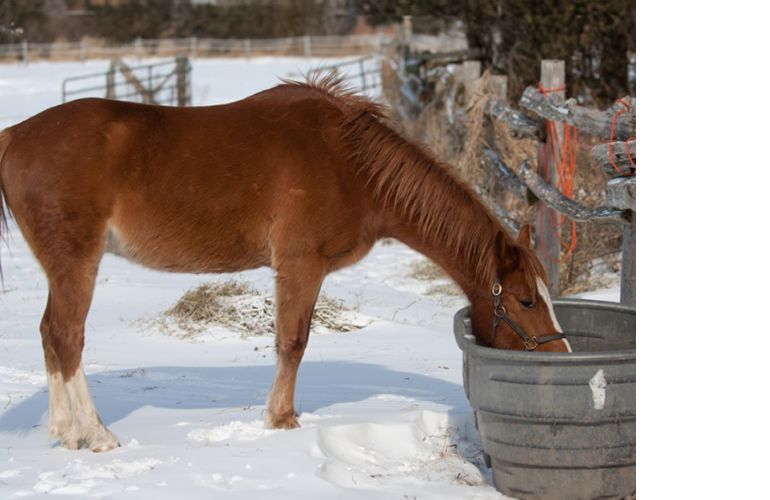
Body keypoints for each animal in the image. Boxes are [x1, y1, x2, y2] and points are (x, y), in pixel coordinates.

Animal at [0, 75, 564, 454]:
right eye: (525, 300)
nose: (559, 354)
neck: (349, 163)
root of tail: (14, 135)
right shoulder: (300, 264)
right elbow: (293, 341)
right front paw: (283, 420)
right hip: (77, 262)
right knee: (66, 335)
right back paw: (95, 435)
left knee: (50, 334)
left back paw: (65, 431)